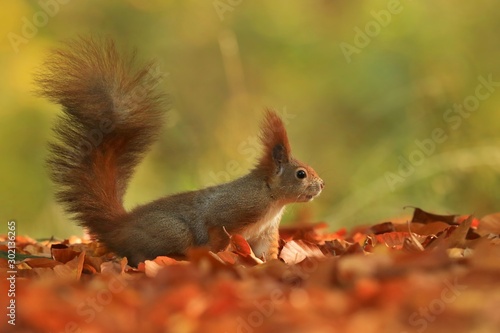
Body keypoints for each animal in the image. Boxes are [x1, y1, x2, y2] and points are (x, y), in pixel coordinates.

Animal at [36, 37, 324, 264]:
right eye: (300, 174)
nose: (321, 184)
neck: (271, 198)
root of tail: (120, 226)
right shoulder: (231, 211)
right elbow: (216, 234)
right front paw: (221, 256)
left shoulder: (265, 233)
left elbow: (264, 253)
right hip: (173, 231)